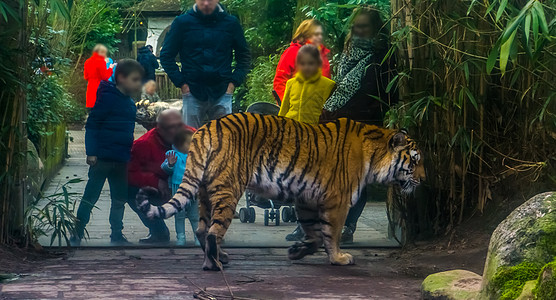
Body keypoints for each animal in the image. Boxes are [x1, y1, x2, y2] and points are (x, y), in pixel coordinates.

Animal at [137, 111, 424, 270]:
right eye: (415, 161)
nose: (424, 179)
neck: (374, 153)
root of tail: (205, 128)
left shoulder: (307, 199)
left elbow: (314, 234)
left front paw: (296, 251)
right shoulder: (337, 201)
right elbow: (331, 234)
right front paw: (339, 258)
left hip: (207, 192)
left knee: (201, 229)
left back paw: (221, 257)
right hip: (229, 190)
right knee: (212, 232)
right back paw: (214, 264)